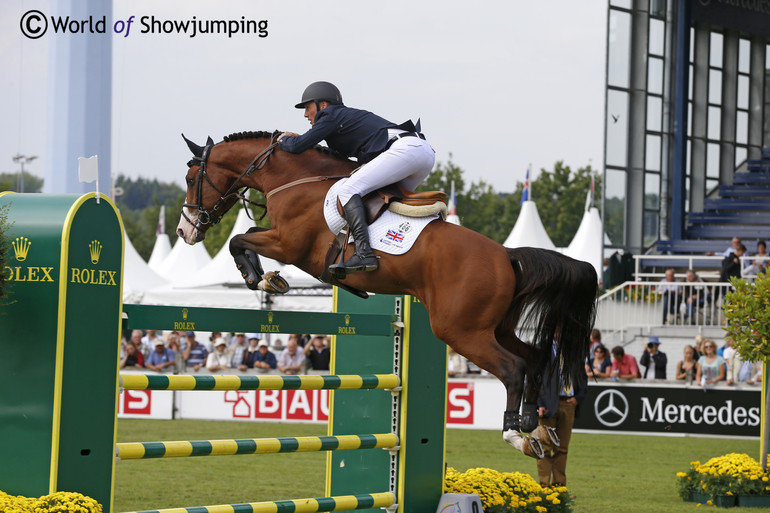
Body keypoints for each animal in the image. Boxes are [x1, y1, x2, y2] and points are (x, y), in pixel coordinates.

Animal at [177, 130, 596, 458]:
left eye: (191, 176)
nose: (186, 231)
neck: (295, 179)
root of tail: (507, 254)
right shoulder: (283, 241)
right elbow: (243, 236)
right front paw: (268, 279)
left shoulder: (289, 244)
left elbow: (238, 238)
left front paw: (261, 279)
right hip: (493, 328)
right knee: (536, 357)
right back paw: (534, 425)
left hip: (460, 330)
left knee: (513, 369)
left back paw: (514, 433)